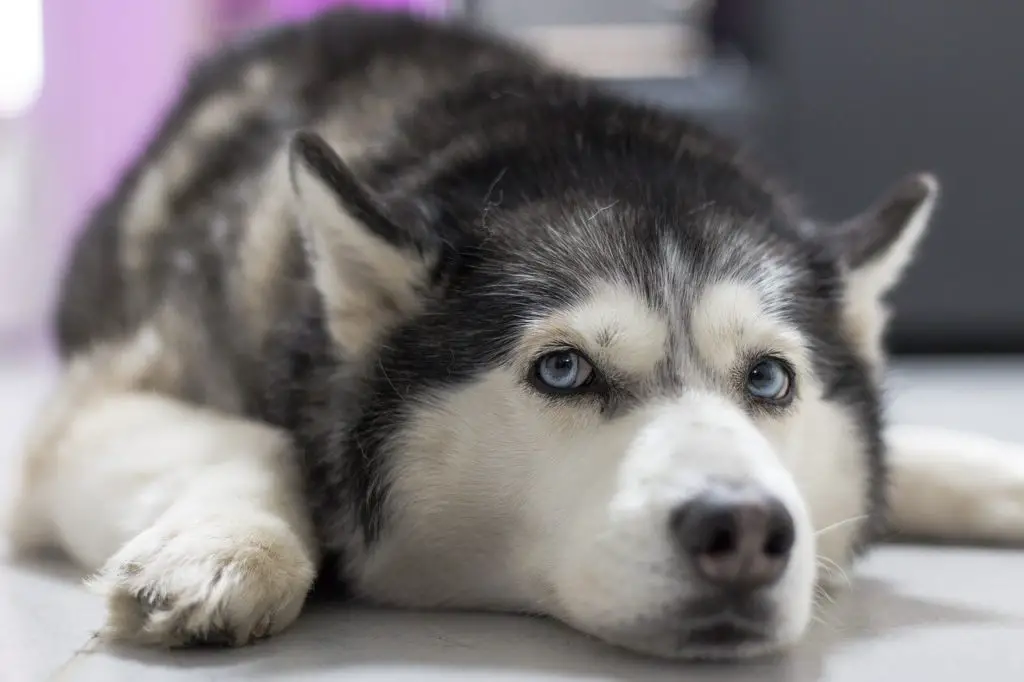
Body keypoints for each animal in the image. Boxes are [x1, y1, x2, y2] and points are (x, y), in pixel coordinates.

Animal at [6, 7, 1024, 659]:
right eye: (564, 370)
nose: (743, 530)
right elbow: (264, 443)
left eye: (769, 380)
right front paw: (225, 549)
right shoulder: (86, 413)